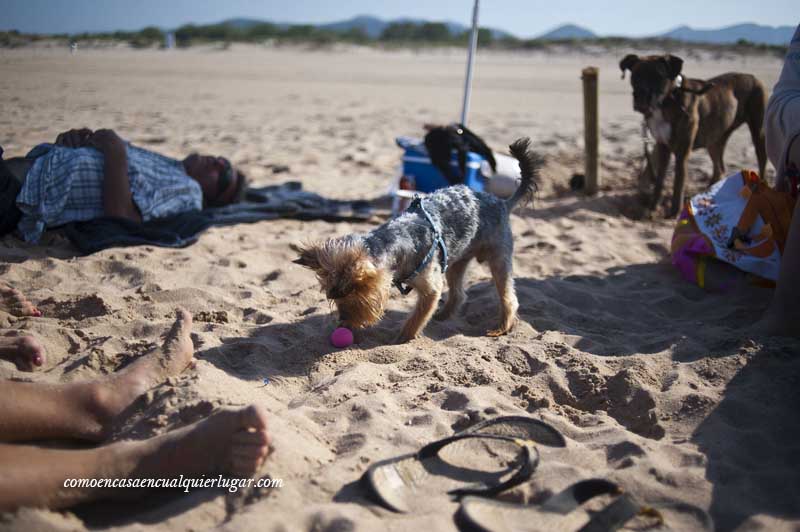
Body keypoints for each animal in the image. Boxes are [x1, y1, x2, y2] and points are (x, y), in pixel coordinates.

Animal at [294, 138, 544, 344]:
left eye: (355, 299)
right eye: (333, 299)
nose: (343, 322)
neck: (394, 244)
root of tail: (502, 202)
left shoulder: (431, 288)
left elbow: (417, 316)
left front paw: (402, 338)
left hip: (499, 256)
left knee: (508, 296)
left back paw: (502, 327)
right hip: (457, 260)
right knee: (459, 293)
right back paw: (443, 316)